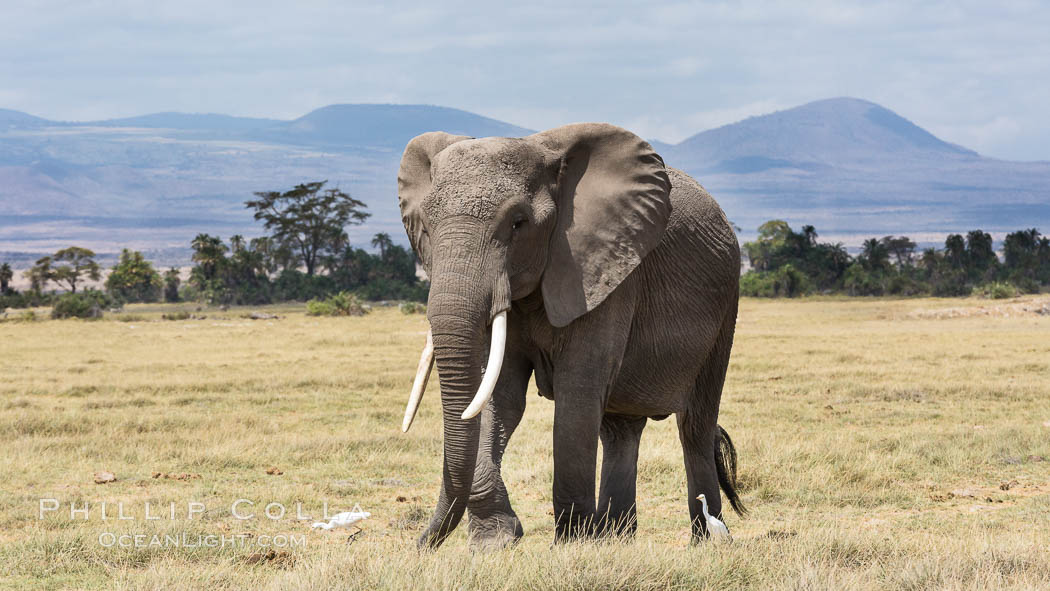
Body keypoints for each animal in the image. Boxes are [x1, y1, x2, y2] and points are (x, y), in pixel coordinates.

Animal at [394, 122, 747, 554]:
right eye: (426, 226)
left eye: (518, 223)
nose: (421, 544)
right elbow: (499, 397)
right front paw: (496, 542)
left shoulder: (600, 271)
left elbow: (576, 393)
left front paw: (570, 546)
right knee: (620, 429)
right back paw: (615, 540)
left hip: (725, 308)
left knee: (694, 426)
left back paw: (705, 542)